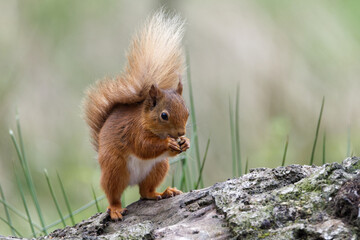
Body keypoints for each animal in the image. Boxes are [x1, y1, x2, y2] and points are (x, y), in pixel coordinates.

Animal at [83, 10, 190, 219]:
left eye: (187, 112)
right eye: (164, 116)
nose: (181, 133)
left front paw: (185, 143)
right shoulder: (134, 131)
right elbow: (143, 146)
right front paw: (169, 143)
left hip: (158, 167)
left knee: (145, 191)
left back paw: (164, 192)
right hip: (115, 169)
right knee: (113, 194)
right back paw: (116, 209)